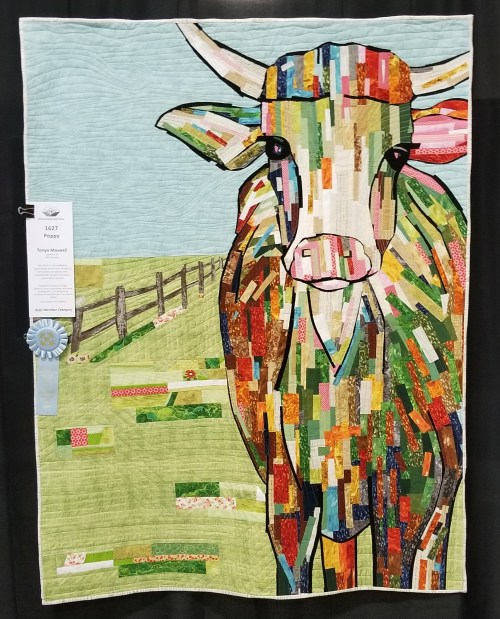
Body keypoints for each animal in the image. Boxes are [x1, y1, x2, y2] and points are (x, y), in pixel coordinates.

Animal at [156, 23, 469, 595]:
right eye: (276, 144)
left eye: (398, 152)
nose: (330, 251)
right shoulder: (287, 491)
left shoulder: (420, 493)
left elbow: (401, 569)